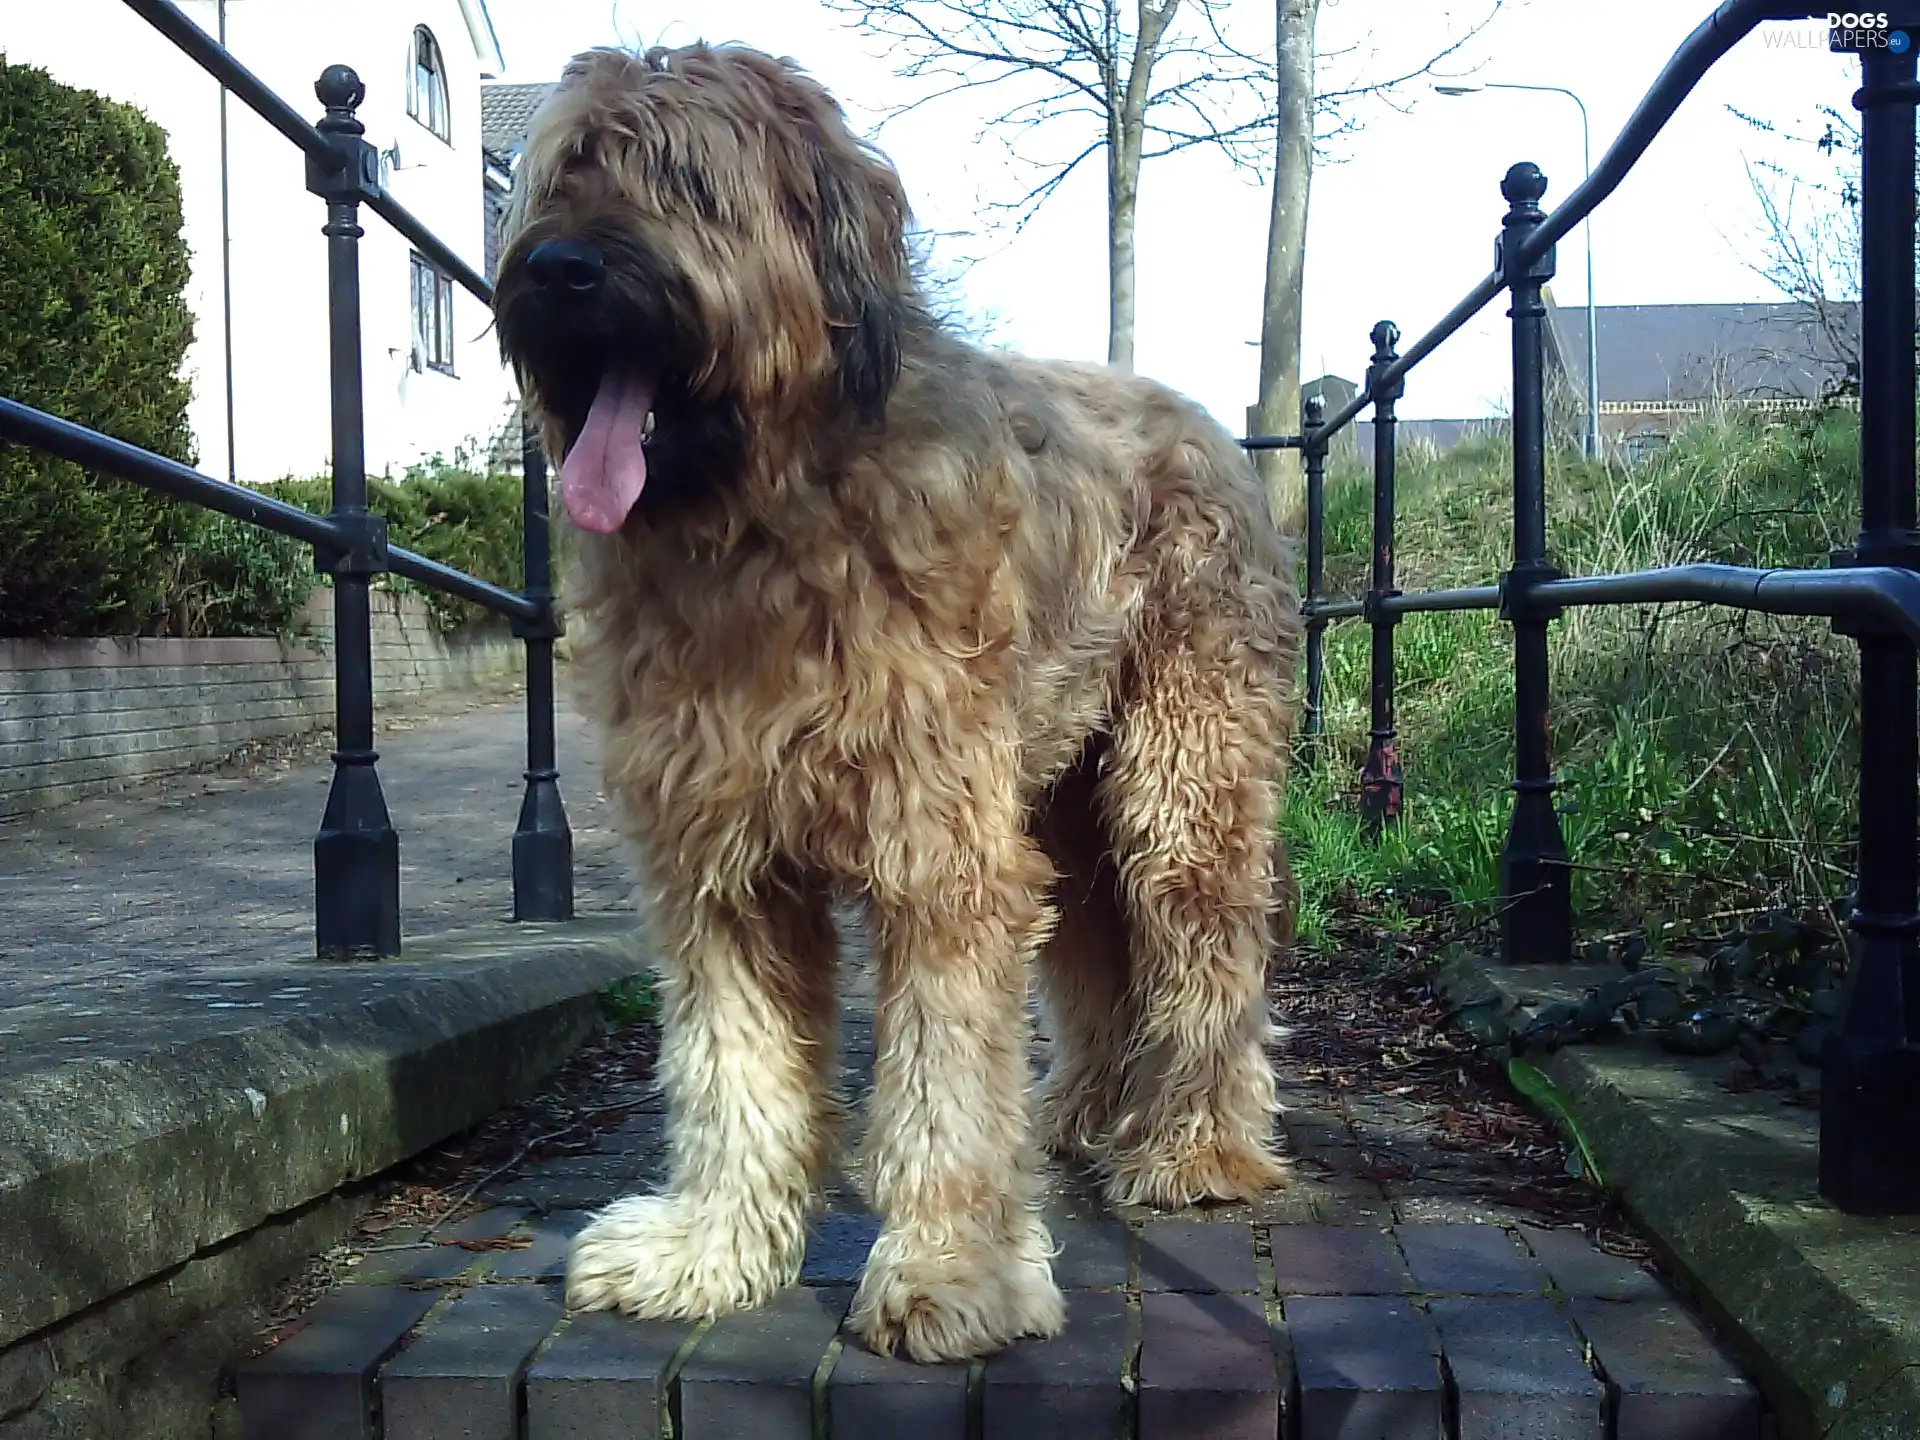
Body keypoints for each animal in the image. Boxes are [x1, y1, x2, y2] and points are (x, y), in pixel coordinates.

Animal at [495, 42, 1305, 1367]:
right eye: (565, 174)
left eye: (685, 181)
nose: (558, 271)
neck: (763, 520)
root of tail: (1212, 428)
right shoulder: (721, 859)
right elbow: (731, 1065)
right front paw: (708, 1250)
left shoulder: (940, 849)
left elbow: (945, 1076)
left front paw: (948, 1271)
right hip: (1062, 796)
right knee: (1095, 949)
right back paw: (1079, 1111)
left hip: (1179, 776)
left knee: (1205, 943)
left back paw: (1195, 1143)